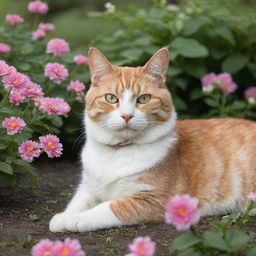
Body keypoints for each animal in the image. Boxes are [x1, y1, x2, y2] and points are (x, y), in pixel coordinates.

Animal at [49, 47, 256, 233]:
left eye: (144, 99)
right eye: (111, 98)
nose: (126, 115)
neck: (118, 151)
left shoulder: (153, 200)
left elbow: (108, 207)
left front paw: (76, 219)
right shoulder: (88, 187)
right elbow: (77, 201)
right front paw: (64, 216)